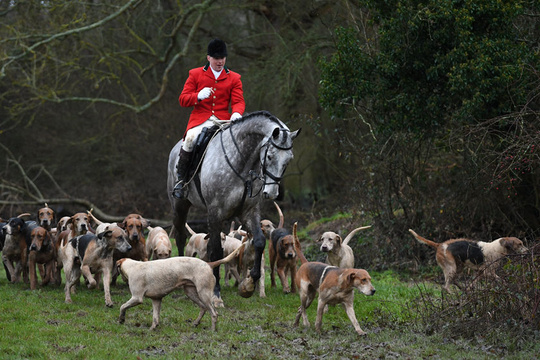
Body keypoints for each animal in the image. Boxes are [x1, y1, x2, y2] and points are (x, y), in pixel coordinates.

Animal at [118, 243, 247, 330]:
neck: (132, 266)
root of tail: (208, 264)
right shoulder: (156, 299)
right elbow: (155, 318)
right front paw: (152, 329)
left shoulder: (137, 298)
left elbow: (122, 306)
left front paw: (121, 319)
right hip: (191, 293)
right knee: (203, 308)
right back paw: (196, 323)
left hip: (204, 294)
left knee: (214, 313)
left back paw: (213, 330)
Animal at [167, 111, 300, 302]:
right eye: (269, 156)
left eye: (289, 160)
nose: (272, 193)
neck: (242, 164)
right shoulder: (215, 213)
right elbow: (216, 251)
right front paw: (216, 292)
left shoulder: (250, 212)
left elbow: (259, 242)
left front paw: (249, 284)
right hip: (180, 206)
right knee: (180, 236)